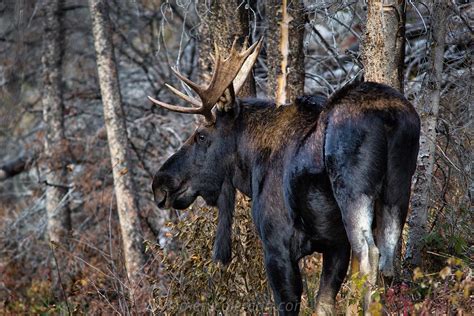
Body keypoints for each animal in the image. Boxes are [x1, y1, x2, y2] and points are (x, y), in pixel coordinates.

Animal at [150, 38, 420, 314]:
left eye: (201, 136)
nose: (160, 184)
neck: (251, 165)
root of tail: (389, 116)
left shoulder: (277, 245)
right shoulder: (335, 245)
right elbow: (323, 304)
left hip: (353, 191)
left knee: (369, 255)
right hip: (398, 188)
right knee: (388, 258)